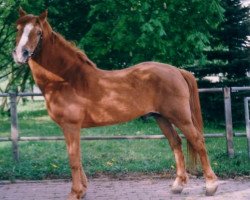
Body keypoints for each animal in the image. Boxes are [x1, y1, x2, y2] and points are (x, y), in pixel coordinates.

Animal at [12, 8, 219, 199]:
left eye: (38, 32)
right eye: (18, 29)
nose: (20, 54)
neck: (65, 80)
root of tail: (176, 70)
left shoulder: (71, 126)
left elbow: (73, 160)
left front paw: (75, 193)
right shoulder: (70, 128)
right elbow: (78, 157)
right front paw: (83, 191)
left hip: (180, 117)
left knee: (197, 141)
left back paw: (211, 185)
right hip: (161, 118)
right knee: (175, 143)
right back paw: (178, 185)